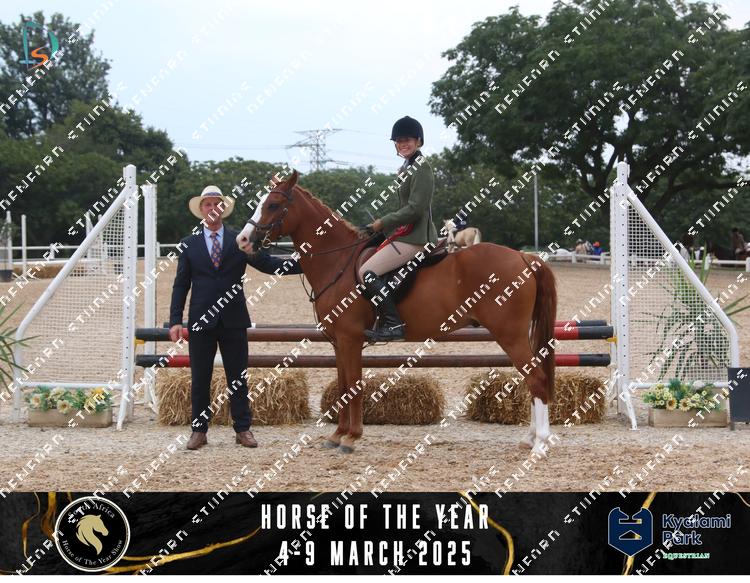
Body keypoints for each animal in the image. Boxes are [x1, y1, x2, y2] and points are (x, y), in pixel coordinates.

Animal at [237, 171, 557, 456]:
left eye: (273, 205)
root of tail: (523, 257)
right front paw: (337, 435)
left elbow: (353, 387)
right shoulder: (338, 343)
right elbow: (342, 387)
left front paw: (351, 438)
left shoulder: (350, 340)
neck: (337, 260)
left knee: (536, 378)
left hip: (510, 334)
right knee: (531, 379)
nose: (242, 240)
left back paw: (540, 445)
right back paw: (530, 440)